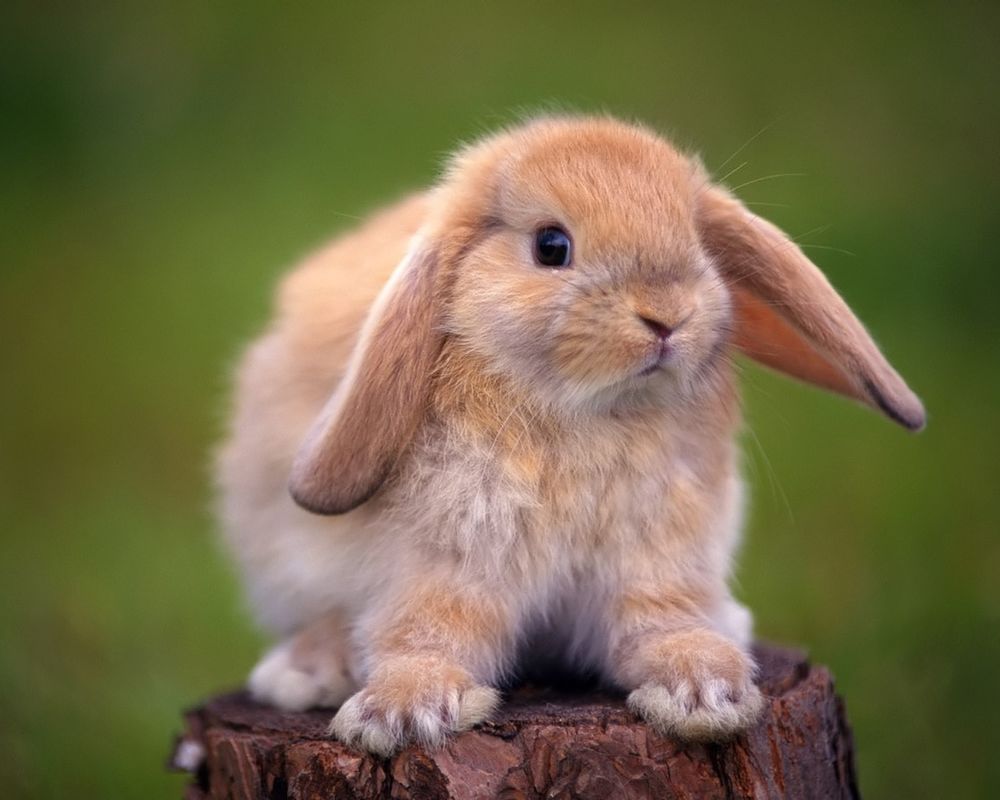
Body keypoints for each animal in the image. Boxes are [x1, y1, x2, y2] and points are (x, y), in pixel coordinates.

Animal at [216, 115, 925, 756]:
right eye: (551, 246)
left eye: (697, 240)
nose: (668, 316)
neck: (590, 411)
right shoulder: (447, 560)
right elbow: (428, 632)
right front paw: (398, 715)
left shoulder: (658, 556)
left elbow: (659, 624)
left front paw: (706, 693)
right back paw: (305, 673)